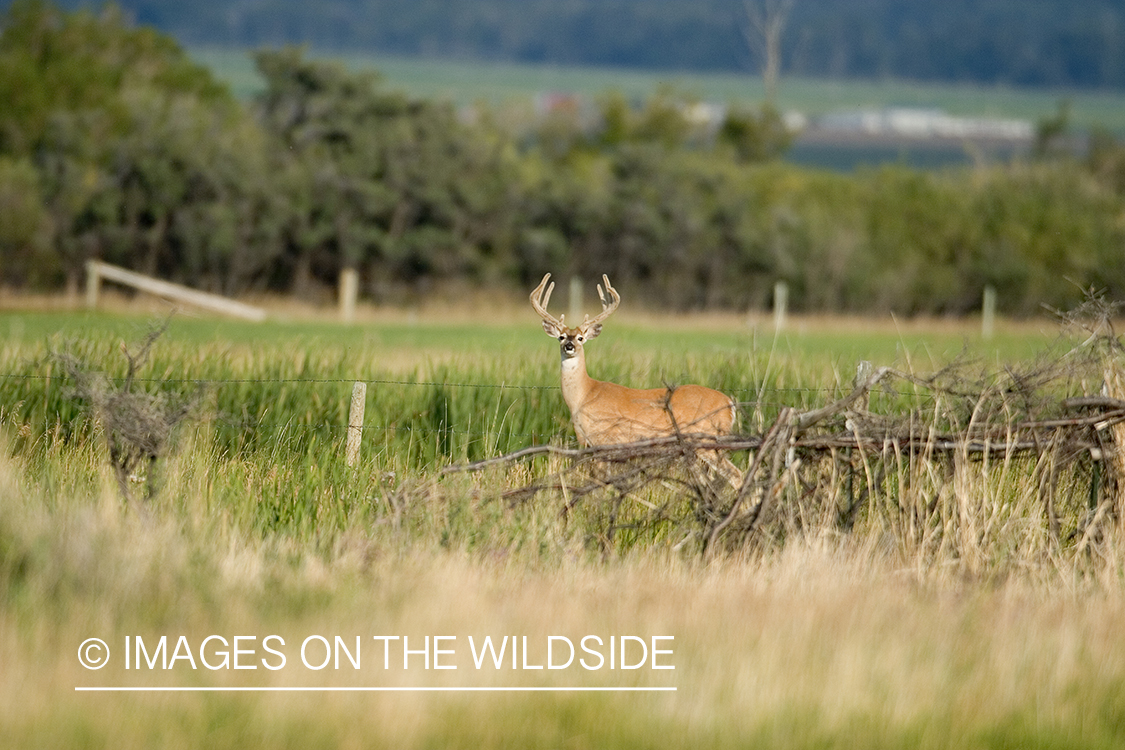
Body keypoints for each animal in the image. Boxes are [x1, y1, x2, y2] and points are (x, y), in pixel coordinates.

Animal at [531, 273, 741, 485]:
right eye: (561, 337)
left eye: (581, 338)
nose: (570, 346)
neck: (584, 395)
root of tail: (729, 404)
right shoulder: (587, 442)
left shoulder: (604, 440)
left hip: (706, 439)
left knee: (736, 475)